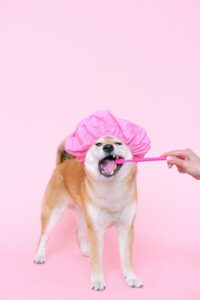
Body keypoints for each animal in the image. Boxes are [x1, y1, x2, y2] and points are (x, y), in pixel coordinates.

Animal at [33, 136, 143, 290]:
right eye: (98, 143)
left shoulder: (126, 228)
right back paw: (39, 256)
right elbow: (97, 259)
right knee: (44, 236)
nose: (108, 147)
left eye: (118, 143)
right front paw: (97, 281)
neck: (112, 191)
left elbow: (126, 258)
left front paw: (131, 278)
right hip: (53, 213)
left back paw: (86, 251)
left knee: (79, 233)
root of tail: (62, 164)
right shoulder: (96, 229)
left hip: (83, 215)